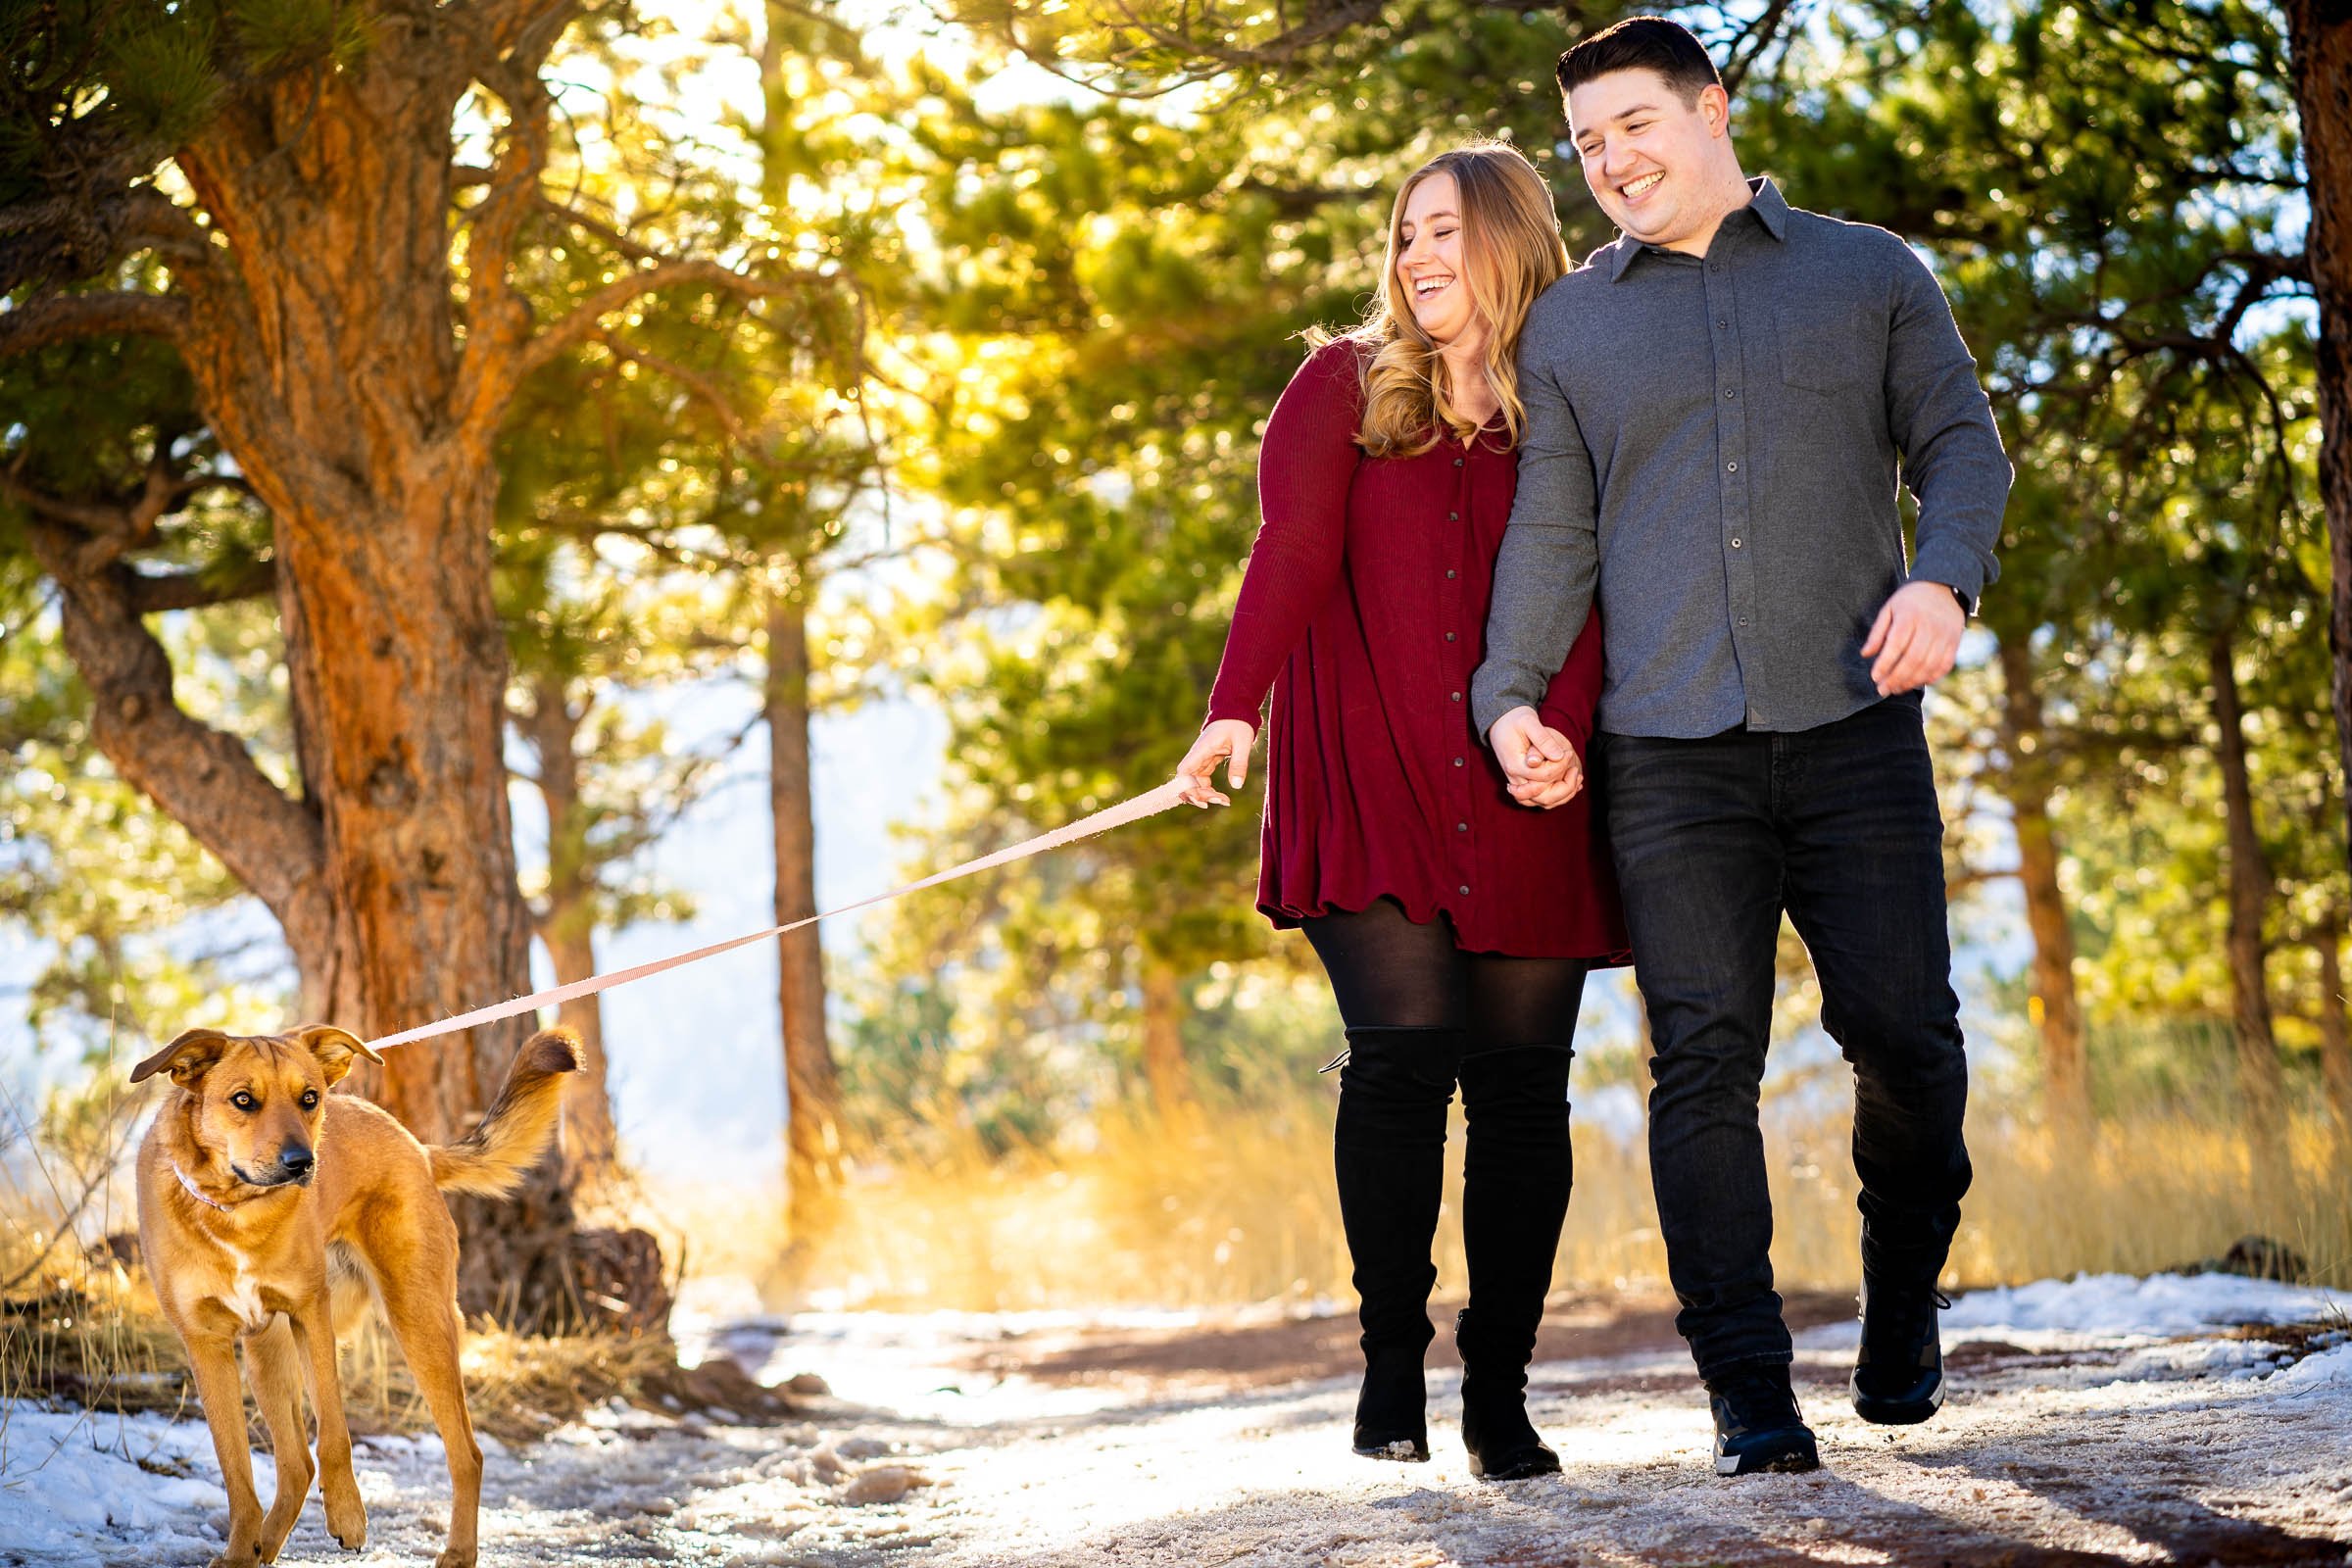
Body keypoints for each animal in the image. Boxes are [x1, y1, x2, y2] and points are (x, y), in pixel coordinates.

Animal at [134, 1024, 583, 1568]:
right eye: (242, 1100)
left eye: (309, 1098)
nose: (302, 1163)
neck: (236, 1212)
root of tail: (416, 1146)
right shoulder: (206, 1346)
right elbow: (235, 1469)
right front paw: (241, 1552)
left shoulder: (312, 1315)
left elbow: (334, 1433)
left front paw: (347, 1515)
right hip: (267, 1356)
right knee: (296, 1465)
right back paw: (262, 1547)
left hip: (418, 1321)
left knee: (466, 1454)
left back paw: (458, 1551)